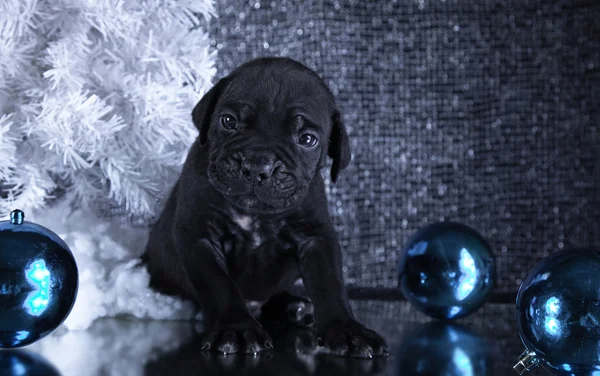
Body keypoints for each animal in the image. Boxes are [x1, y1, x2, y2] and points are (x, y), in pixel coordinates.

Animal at [146, 56, 390, 358]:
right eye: (228, 121)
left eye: (307, 139)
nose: (256, 166)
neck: (256, 213)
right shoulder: (199, 235)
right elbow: (218, 283)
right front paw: (236, 328)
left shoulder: (316, 237)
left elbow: (330, 283)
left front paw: (347, 329)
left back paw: (295, 307)